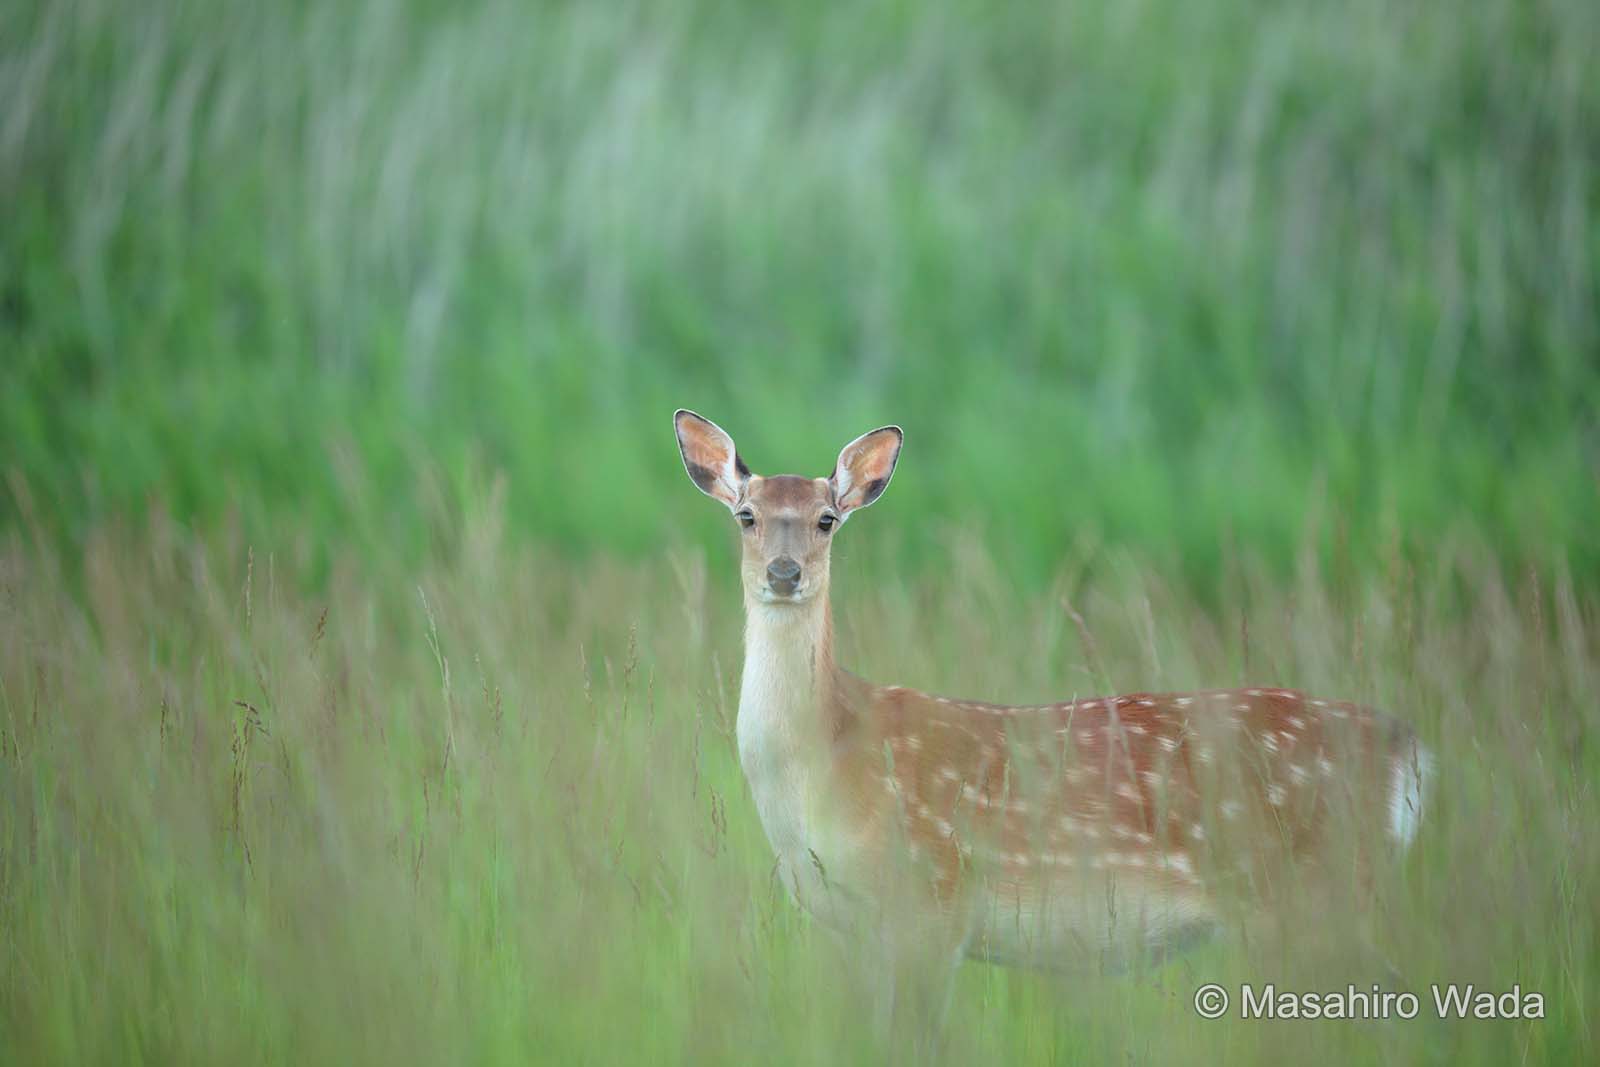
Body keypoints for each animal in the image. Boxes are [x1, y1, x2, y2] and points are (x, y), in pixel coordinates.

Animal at [672, 406, 1440, 1036]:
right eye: (746, 515)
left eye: (827, 518)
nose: (784, 572)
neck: (822, 762)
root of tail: (1408, 749)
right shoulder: (847, 925)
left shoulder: (931, 898)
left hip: (1310, 891)